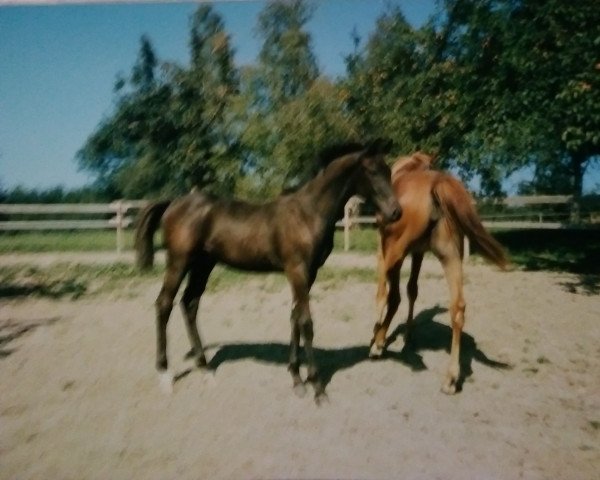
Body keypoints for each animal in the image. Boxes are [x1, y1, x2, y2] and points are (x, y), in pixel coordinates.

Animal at [134, 141, 400, 404]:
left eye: (388, 171)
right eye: (373, 172)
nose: (396, 212)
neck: (308, 213)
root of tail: (174, 203)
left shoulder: (309, 274)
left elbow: (294, 317)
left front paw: (296, 378)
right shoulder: (297, 271)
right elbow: (306, 322)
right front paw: (317, 387)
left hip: (203, 265)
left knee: (189, 303)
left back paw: (205, 370)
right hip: (179, 262)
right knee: (164, 304)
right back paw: (165, 375)